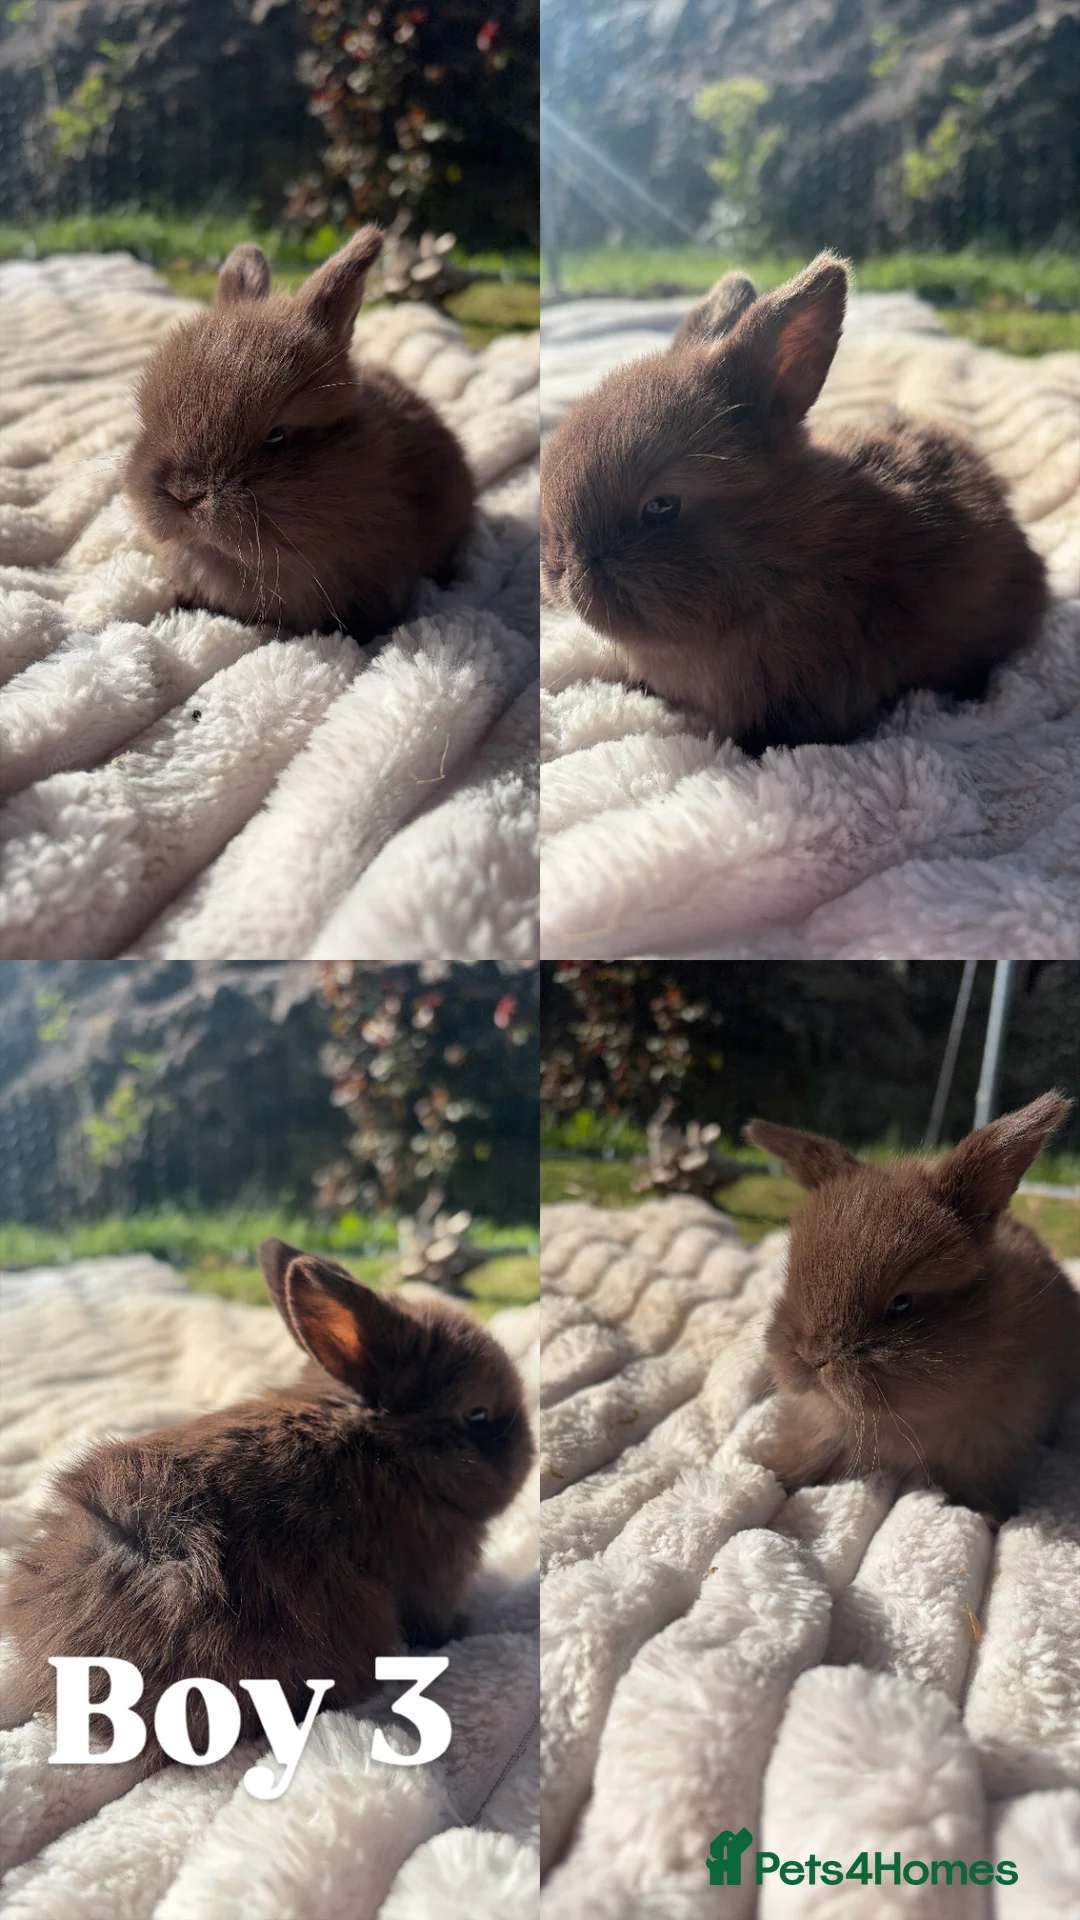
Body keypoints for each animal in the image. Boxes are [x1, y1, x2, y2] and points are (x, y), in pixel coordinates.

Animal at [743, 1091, 1080, 1521]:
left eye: (901, 1303)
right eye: (790, 1277)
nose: (812, 1358)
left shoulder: (990, 1450)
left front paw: (990, 1519)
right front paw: (772, 1476)